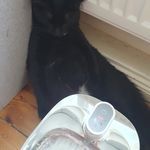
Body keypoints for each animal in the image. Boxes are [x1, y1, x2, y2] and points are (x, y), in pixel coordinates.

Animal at [27, 0, 150, 149]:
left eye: (68, 15)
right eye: (48, 14)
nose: (59, 31)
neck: (58, 41)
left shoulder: (83, 43)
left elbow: (91, 58)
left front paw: (94, 81)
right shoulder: (34, 61)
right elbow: (38, 84)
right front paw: (44, 109)